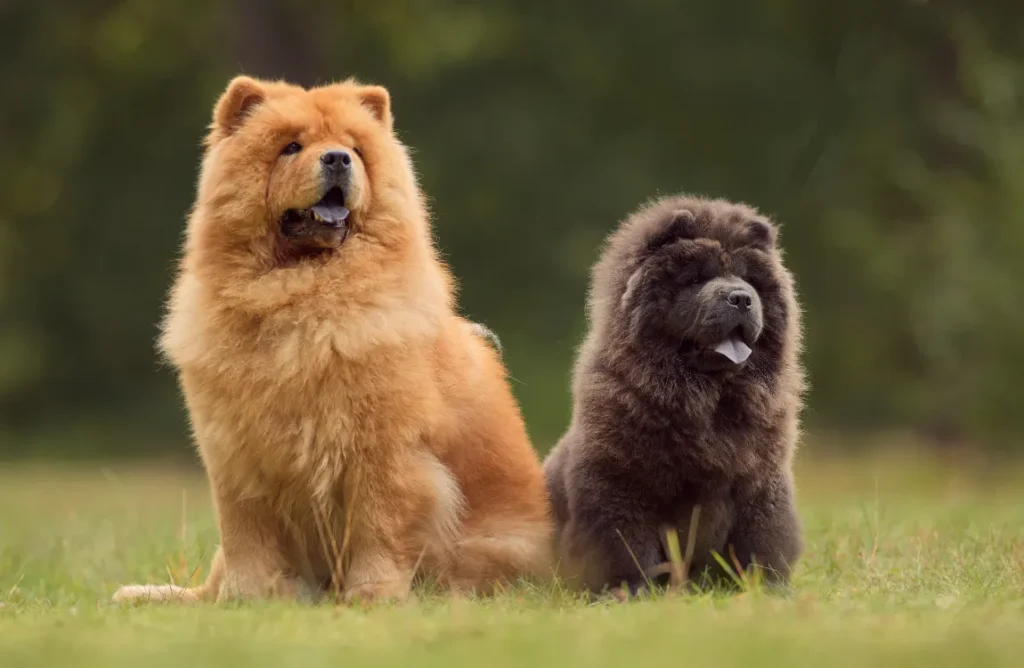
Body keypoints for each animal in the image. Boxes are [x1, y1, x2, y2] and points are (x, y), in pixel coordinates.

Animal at [544, 194, 806, 594]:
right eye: (696, 278)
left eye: (749, 279)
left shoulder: (761, 484)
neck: (709, 403)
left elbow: (763, 540)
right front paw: (631, 591)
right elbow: (628, 544)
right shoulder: (620, 484)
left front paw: (768, 589)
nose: (741, 298)